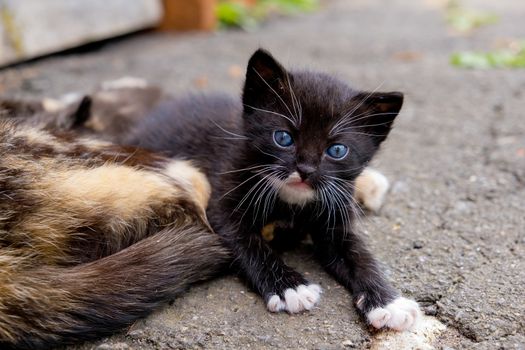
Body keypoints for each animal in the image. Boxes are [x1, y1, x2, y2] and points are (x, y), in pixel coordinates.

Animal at [129, 49, 420, 330]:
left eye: (337, 150)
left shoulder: (335, 212)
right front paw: (290, 288)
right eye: (283, 138)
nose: (305, 169)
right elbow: (248, 242)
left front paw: (388, 302)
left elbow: (359, 254)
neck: (291, 203)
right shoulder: (222, 200)